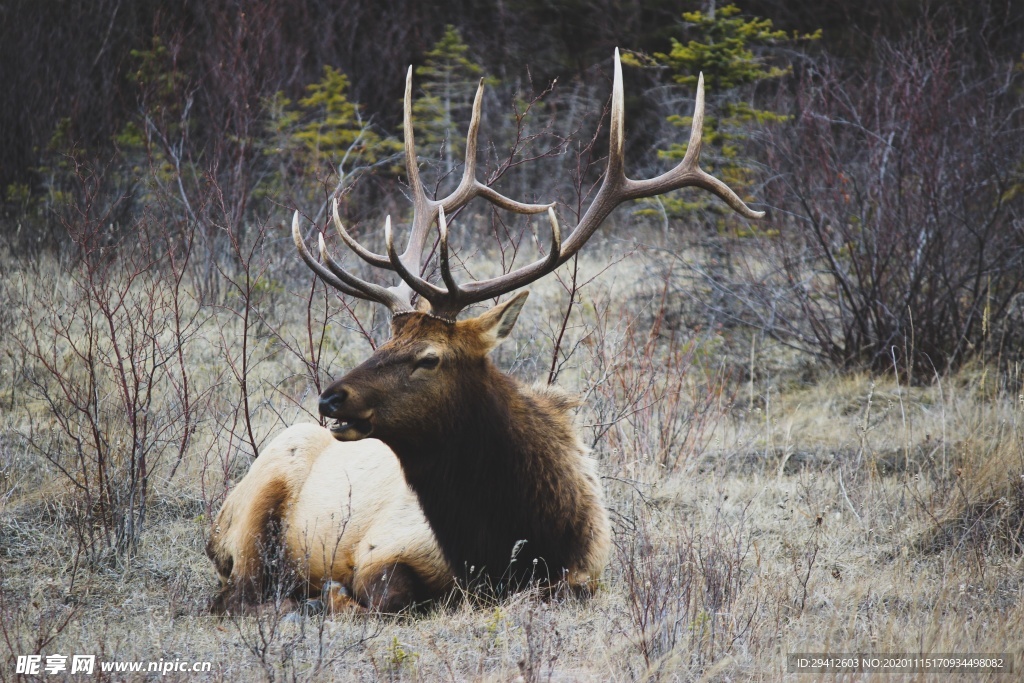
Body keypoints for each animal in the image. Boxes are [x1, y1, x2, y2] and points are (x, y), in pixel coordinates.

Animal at [207, 48, 761, 610]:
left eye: (429, 357)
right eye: (385, 341)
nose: (330, 398)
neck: (510, 540)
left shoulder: (586, 572)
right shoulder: (381, 548)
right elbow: (378, 593)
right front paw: (332, 594)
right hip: (254, 512)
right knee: (238, 592)